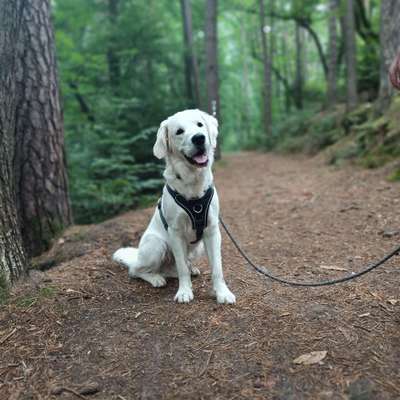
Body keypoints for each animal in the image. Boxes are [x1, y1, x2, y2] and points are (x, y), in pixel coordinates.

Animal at [112, 108, 236, 304]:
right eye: (179, 131)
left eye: (200, 125)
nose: (199, 138)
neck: (192, 183)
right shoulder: (175, 232)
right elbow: (182, 268)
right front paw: (184, 292)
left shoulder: (212, 231)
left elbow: (217, 267)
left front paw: (222, 293)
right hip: (157, 245)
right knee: (137, 270)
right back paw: (156, 278)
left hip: (197, 247)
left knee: (175, 268)